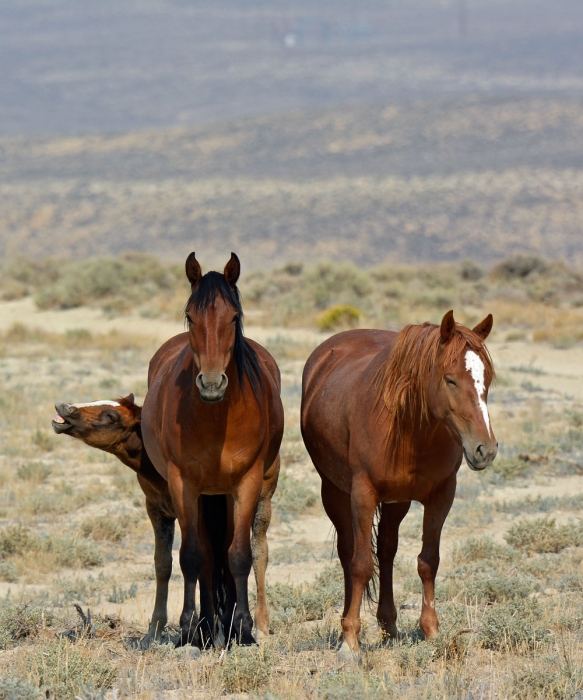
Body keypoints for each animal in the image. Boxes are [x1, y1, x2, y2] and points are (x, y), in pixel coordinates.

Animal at [144, 252, 286, 644]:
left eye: (233, 316)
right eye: (190, 315)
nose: (211, 384)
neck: (215, 416)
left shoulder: (246, 482)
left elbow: (239, 554)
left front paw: (244, 629)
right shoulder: (184, 484)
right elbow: (193, 556)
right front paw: (191, 628)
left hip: (246, 491)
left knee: (248, 548)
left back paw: (242, 623)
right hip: (205, 495)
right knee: (207, 554)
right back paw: (207, 625)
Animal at [302, 308, 498, 660]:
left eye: (486, 378)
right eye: (450, 379)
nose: (484, 450)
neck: (409, 427)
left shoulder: (441, 495)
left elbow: (428, 560)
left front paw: (431, 630)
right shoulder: (362, 495)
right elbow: (361, 565)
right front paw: (350, 642)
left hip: (397, 502)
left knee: (387, 550)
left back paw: (389, 625)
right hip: (334, 492)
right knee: (348, 553)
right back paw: (347, 624)